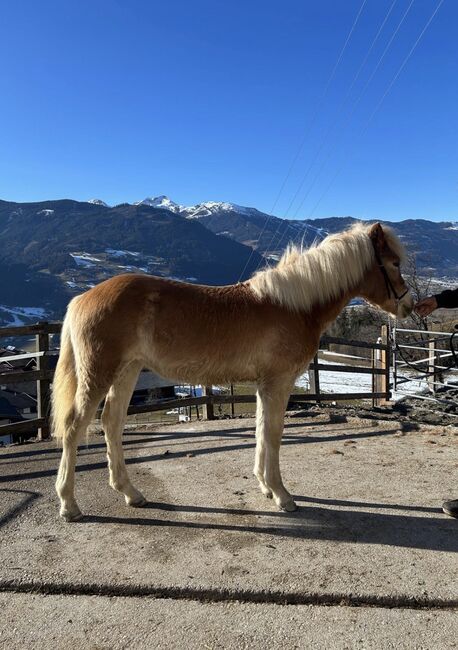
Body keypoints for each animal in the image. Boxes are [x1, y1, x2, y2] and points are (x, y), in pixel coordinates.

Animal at [53, 222, 413, 521]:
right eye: (394, 263)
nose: (408, 306)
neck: (294, 305)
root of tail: (82, 297)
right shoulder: (278, 383)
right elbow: (274, 434)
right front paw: (282, 495)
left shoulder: (264, 385)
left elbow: (260, 430)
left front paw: (265, 487)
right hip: (99, 372)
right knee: (73, 427)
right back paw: (69, 504)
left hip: (127, 371)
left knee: (111, 422)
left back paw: (130, 493)